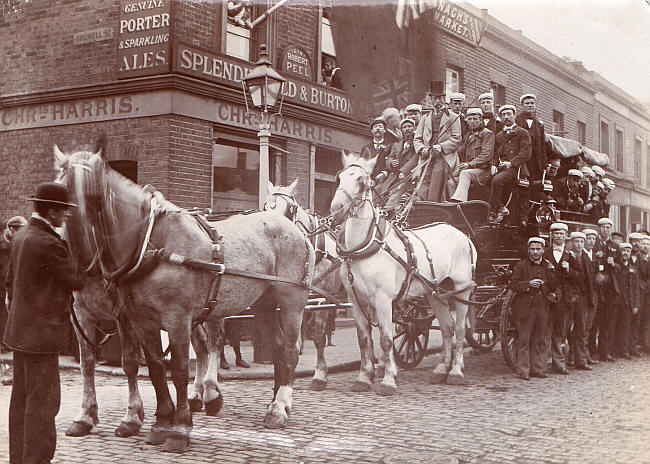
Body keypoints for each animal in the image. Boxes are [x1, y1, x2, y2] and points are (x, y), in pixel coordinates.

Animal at [54, 146, 312, 454]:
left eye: (90, 195)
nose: (72, 256)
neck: (151, 243)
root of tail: (292, 229)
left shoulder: (172, 319)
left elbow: (174, 370)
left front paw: (176, 429)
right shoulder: (135, 318)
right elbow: (149, 367)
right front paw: (159, 422)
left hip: (291, 301)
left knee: (289, 350)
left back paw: (278, 407)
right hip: (263, 303)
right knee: (274, 347)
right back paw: (270, 401)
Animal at [330, 151, 476, 392]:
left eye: (361, 180)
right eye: (339, 177)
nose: (336, 209)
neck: (364, 247)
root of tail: (463, 235)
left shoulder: (383, 299)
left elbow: (386, 339)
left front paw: (388, 380)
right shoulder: (356, 299)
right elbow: (364, 339)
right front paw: (363, 377)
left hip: (462, 289)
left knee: (461, 329)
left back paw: (456, 371)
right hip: (435, 293)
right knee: (447, 328)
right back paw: (442, 370)